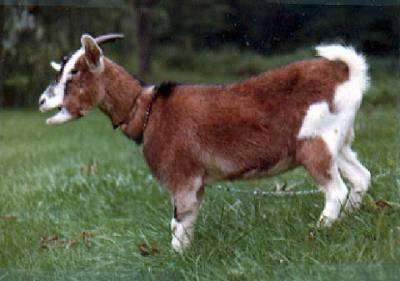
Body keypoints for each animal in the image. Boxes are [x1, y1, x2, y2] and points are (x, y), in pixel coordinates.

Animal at [39, 33, 370, 252]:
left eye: (75, 71)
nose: (42, 101)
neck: (147, 110)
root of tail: (347, 74)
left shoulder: (182, 176)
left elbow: (178, 222)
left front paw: (176, 257)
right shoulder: (197, 182)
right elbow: (186, 223)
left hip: (315, 143)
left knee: (336, 190)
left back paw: (318, 233)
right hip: (339, 144)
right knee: (361, 178)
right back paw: (346, 222)